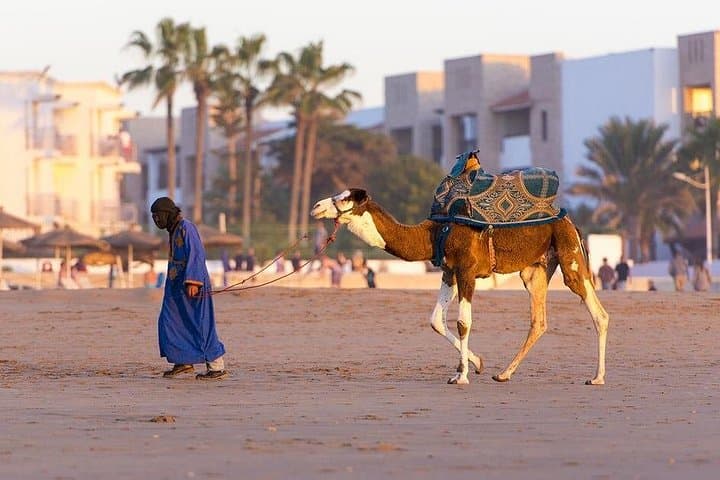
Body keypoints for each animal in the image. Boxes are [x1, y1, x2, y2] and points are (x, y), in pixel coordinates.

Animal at [310, 188, 609, 385]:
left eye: (344, 198)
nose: (316, 206)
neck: (434, 233)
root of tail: (571, 222)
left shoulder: (467, 271)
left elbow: (463, 322)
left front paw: (463, 376)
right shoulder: (449, 272)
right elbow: (436, 320)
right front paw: (473, 365)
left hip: (570, 257)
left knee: (599, 314)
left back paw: (597, 377)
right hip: (535, 270)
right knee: (539, 321)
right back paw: (503, 374)